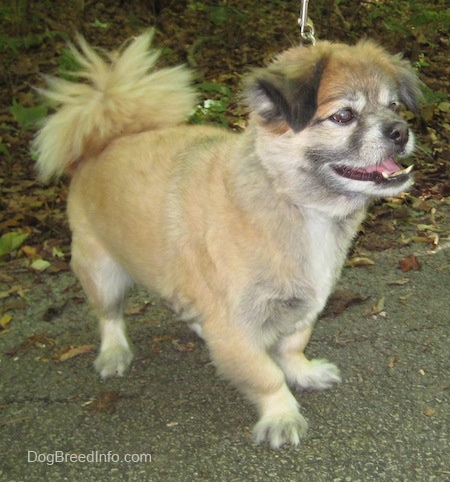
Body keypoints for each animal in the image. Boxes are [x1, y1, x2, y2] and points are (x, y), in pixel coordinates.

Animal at [32, 31, 422, 448]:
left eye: (394, 106)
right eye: (344, 116)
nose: (400, 131)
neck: (290, 200)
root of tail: (105, 143)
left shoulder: (305, 305)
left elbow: (291, 347)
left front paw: (304, 373)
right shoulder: (236, 327)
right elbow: (265, 375)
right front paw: (282, 415)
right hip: (102, 272)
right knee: (109, 316)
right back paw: (114, 353)